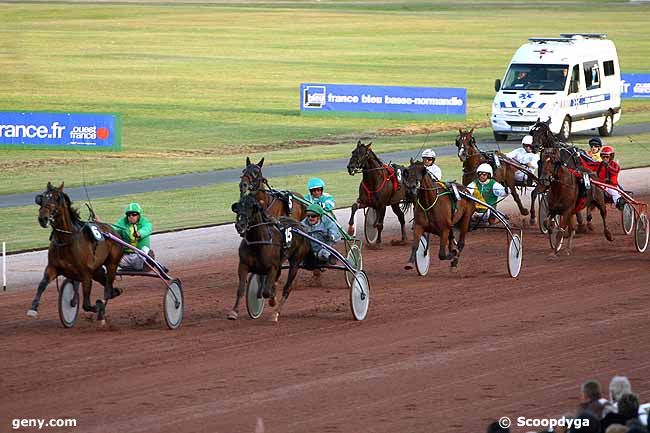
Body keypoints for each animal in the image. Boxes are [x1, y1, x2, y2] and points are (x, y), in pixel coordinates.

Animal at [28, 181, 124, 324]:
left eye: (57, 198)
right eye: (41, 198)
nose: (43, 218)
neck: (66, 240)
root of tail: (114, 232)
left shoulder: (86, 274)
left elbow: (87, 304)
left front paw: (98, 306)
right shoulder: (53, 268)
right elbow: (42, 284)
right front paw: (33, 308)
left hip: (111, 264)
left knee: (108, 290)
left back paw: (102, 309)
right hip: (97, 271)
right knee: (110, 288)